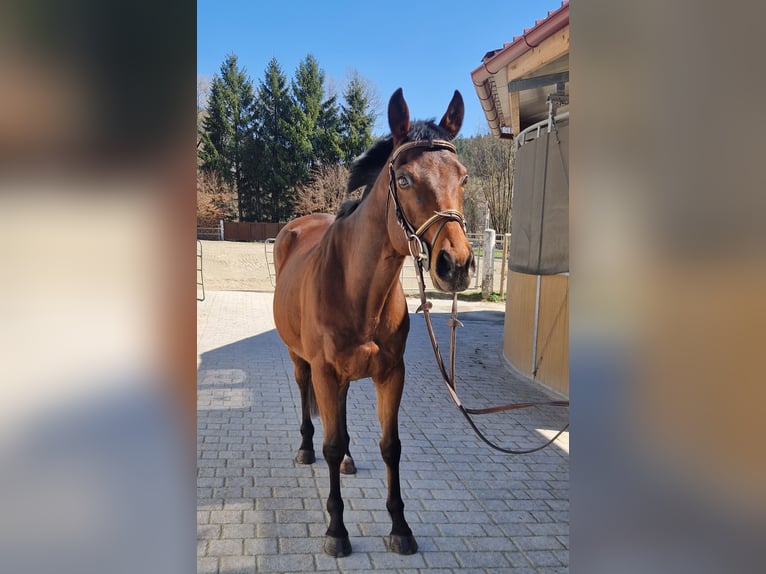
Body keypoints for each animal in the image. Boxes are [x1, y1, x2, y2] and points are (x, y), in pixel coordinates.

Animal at [272, 88, 475, 557]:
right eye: (404, 180)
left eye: (463, 178)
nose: (455, 265)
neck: (357, 288)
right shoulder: (325, 371)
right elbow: (330, 444)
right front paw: (336, 530)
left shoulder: (391, 374)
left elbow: (390, 447)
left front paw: (400, 527)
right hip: (300, 360)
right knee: (307, 400)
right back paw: (306, 449)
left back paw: (349, 461)